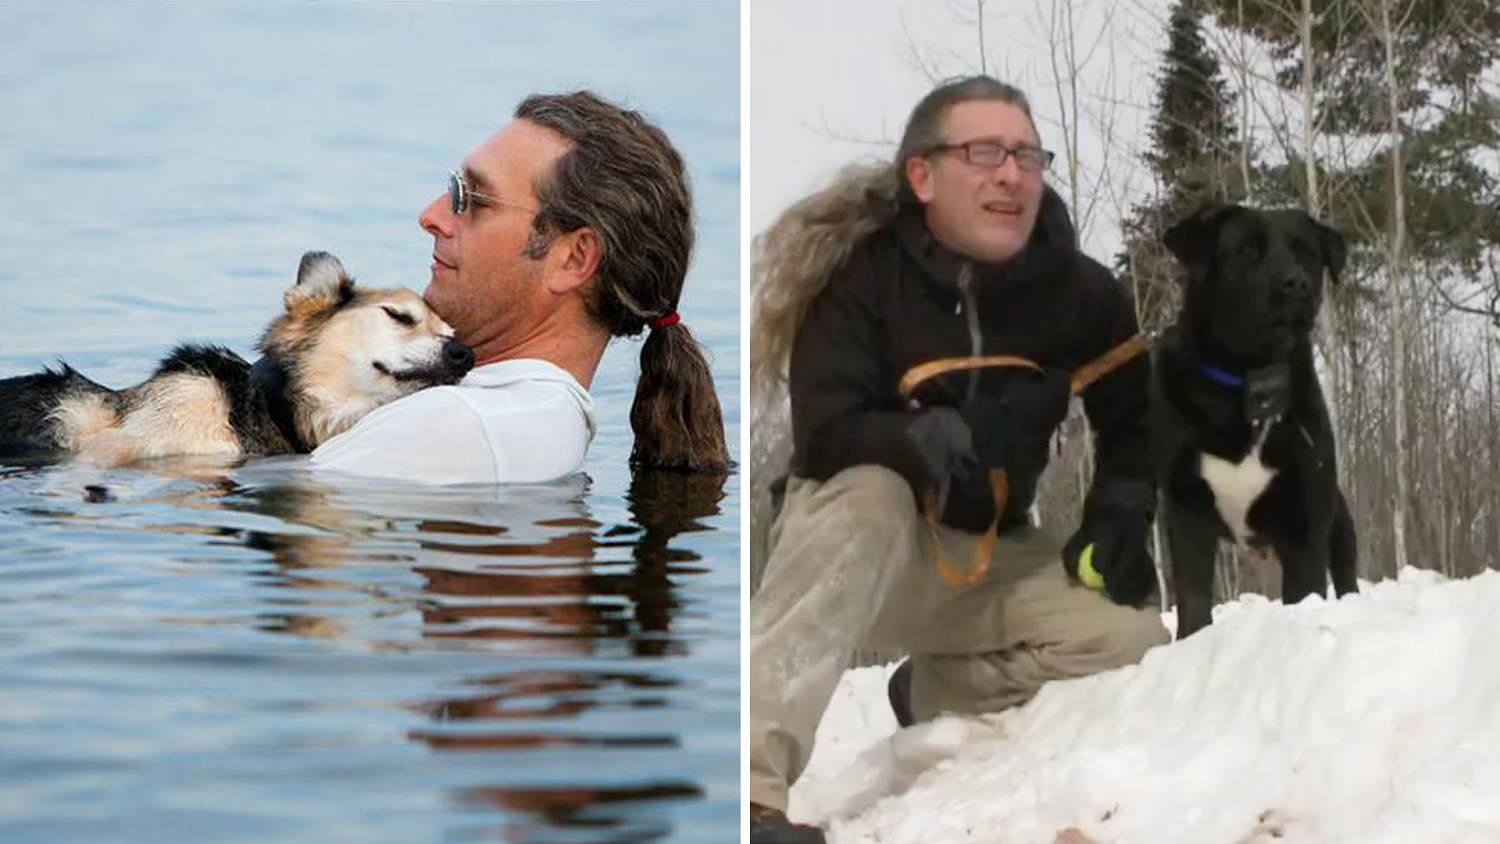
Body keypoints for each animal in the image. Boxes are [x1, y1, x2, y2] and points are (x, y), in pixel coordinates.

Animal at [1152, 206, 1356, 641]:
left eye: (1305, 251)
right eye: (1245, 250)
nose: (1295, 283)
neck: (1248, 382)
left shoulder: (1305, 522)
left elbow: (1305, 593)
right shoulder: (1186, 512)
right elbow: (1194, 604)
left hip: (1339, 527)